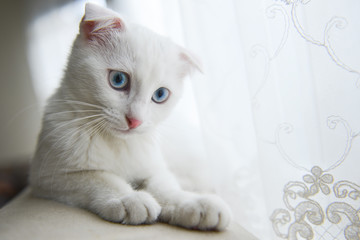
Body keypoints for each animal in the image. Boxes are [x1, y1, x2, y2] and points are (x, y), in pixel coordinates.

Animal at [29, 3, 229, 231]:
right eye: (118, 79)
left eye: (160, 95)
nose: (135, 120)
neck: (117, 144)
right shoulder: (48, 176)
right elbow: (99, 177)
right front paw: (128, 198)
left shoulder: (154, 166)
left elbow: (164, 186)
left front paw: (191, 202)